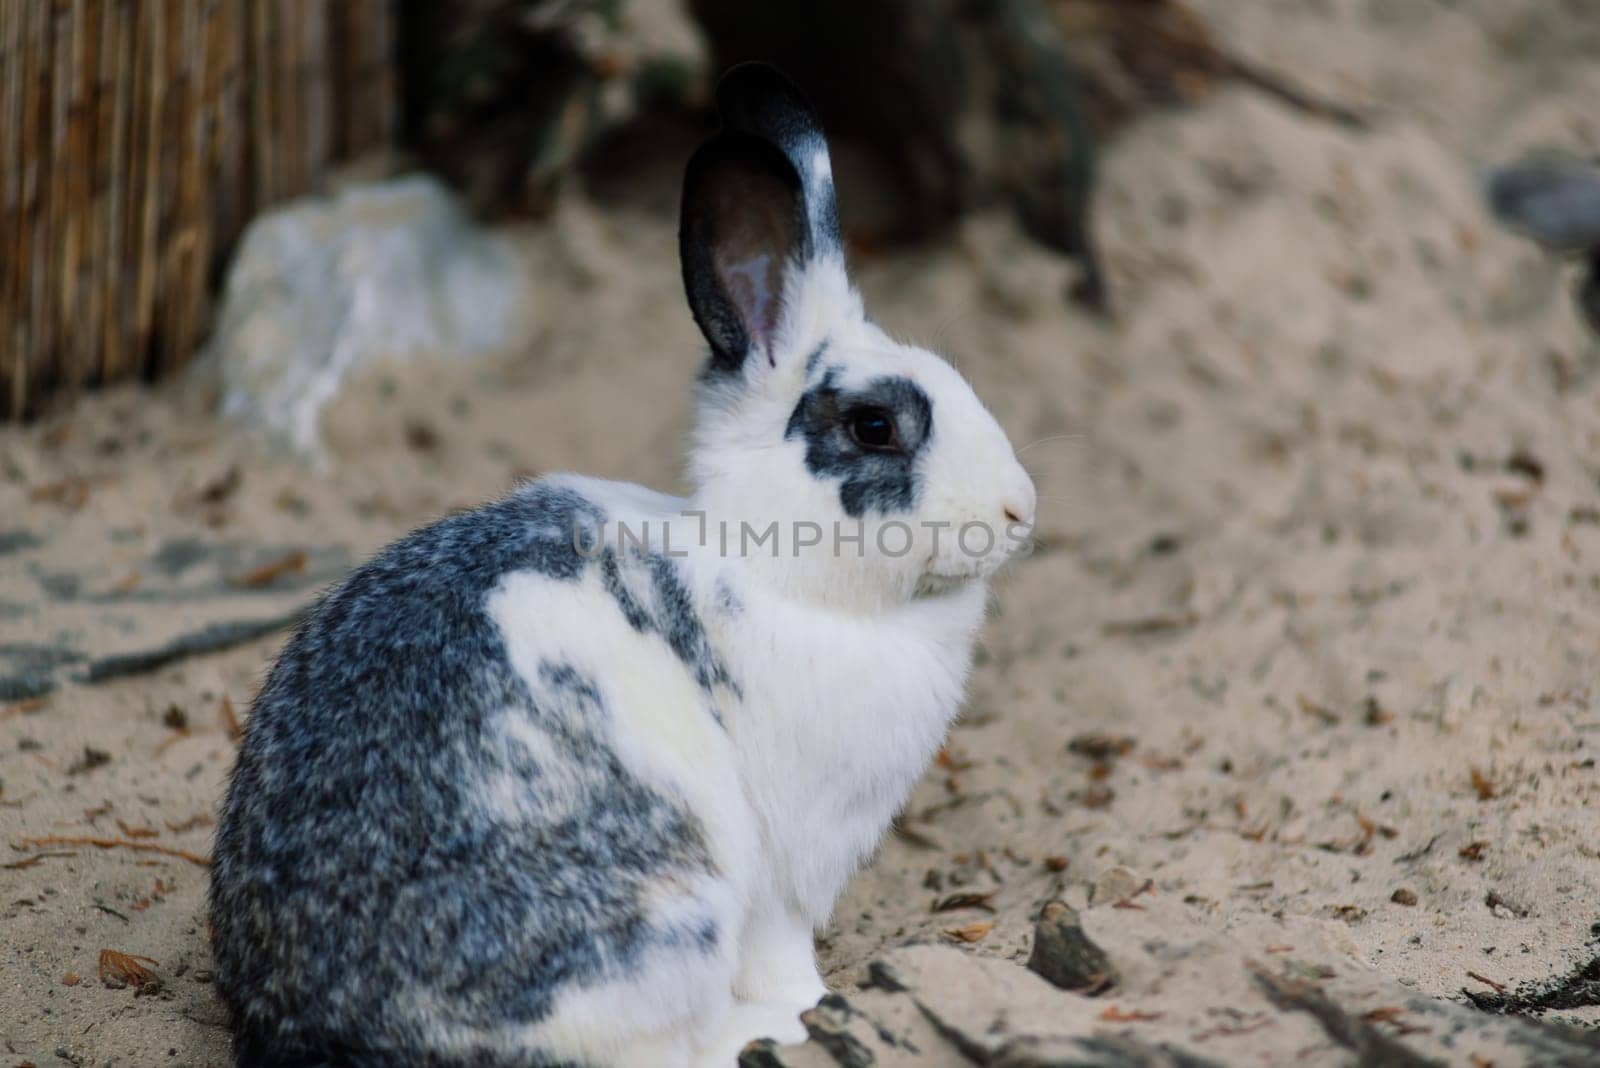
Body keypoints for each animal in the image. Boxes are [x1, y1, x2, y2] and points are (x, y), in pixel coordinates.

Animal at [209, 60, 1036, 1068]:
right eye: (873, 426)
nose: (1019, 510)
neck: (774, 571)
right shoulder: (785, 868)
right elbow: (783, 952)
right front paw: (810, 1003)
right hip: (675, 912)